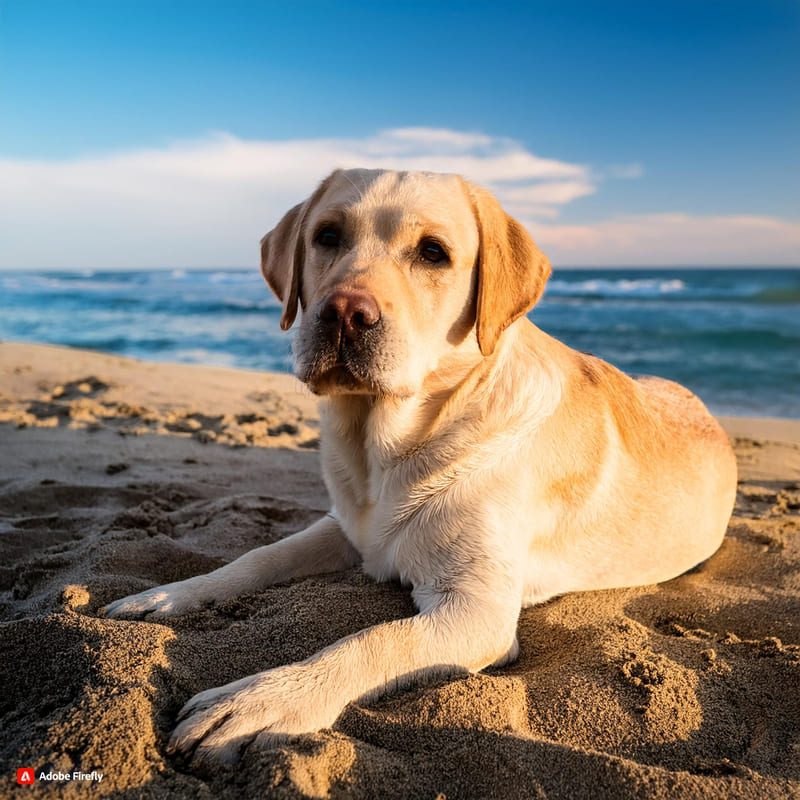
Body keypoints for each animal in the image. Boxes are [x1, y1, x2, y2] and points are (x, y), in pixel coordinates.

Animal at [104, 167, 736, 764]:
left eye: (433, 252)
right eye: (326, 236)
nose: (344, 312)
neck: (388, 449)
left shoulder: (477, 610)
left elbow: (372, 641)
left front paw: (257, 701)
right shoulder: (347, 526)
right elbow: (260, 556)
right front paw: (169, 596)